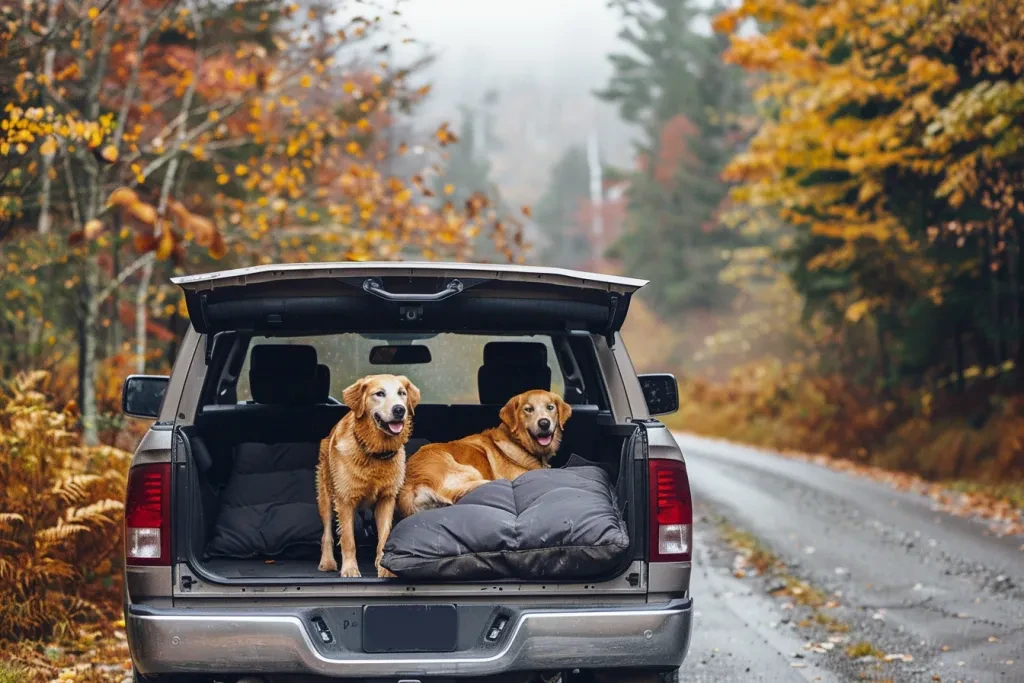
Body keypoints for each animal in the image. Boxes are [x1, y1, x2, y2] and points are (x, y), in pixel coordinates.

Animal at [315, 374, 419, 577]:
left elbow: (385, 536)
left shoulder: (387, 498)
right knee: (327, 533)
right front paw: (349, 569)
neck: (375, 452)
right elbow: (348, 539)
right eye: (379, 393)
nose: (399, 409)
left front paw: (384, 567)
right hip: (325, 495)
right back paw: (327, 561)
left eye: (402, 393)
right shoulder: (344, 500)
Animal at [397, 389, 573, 518]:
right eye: (528, 410)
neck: (518, 442)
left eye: (550, 407)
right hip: (468, 471)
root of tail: (412, 484)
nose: (544, 423)